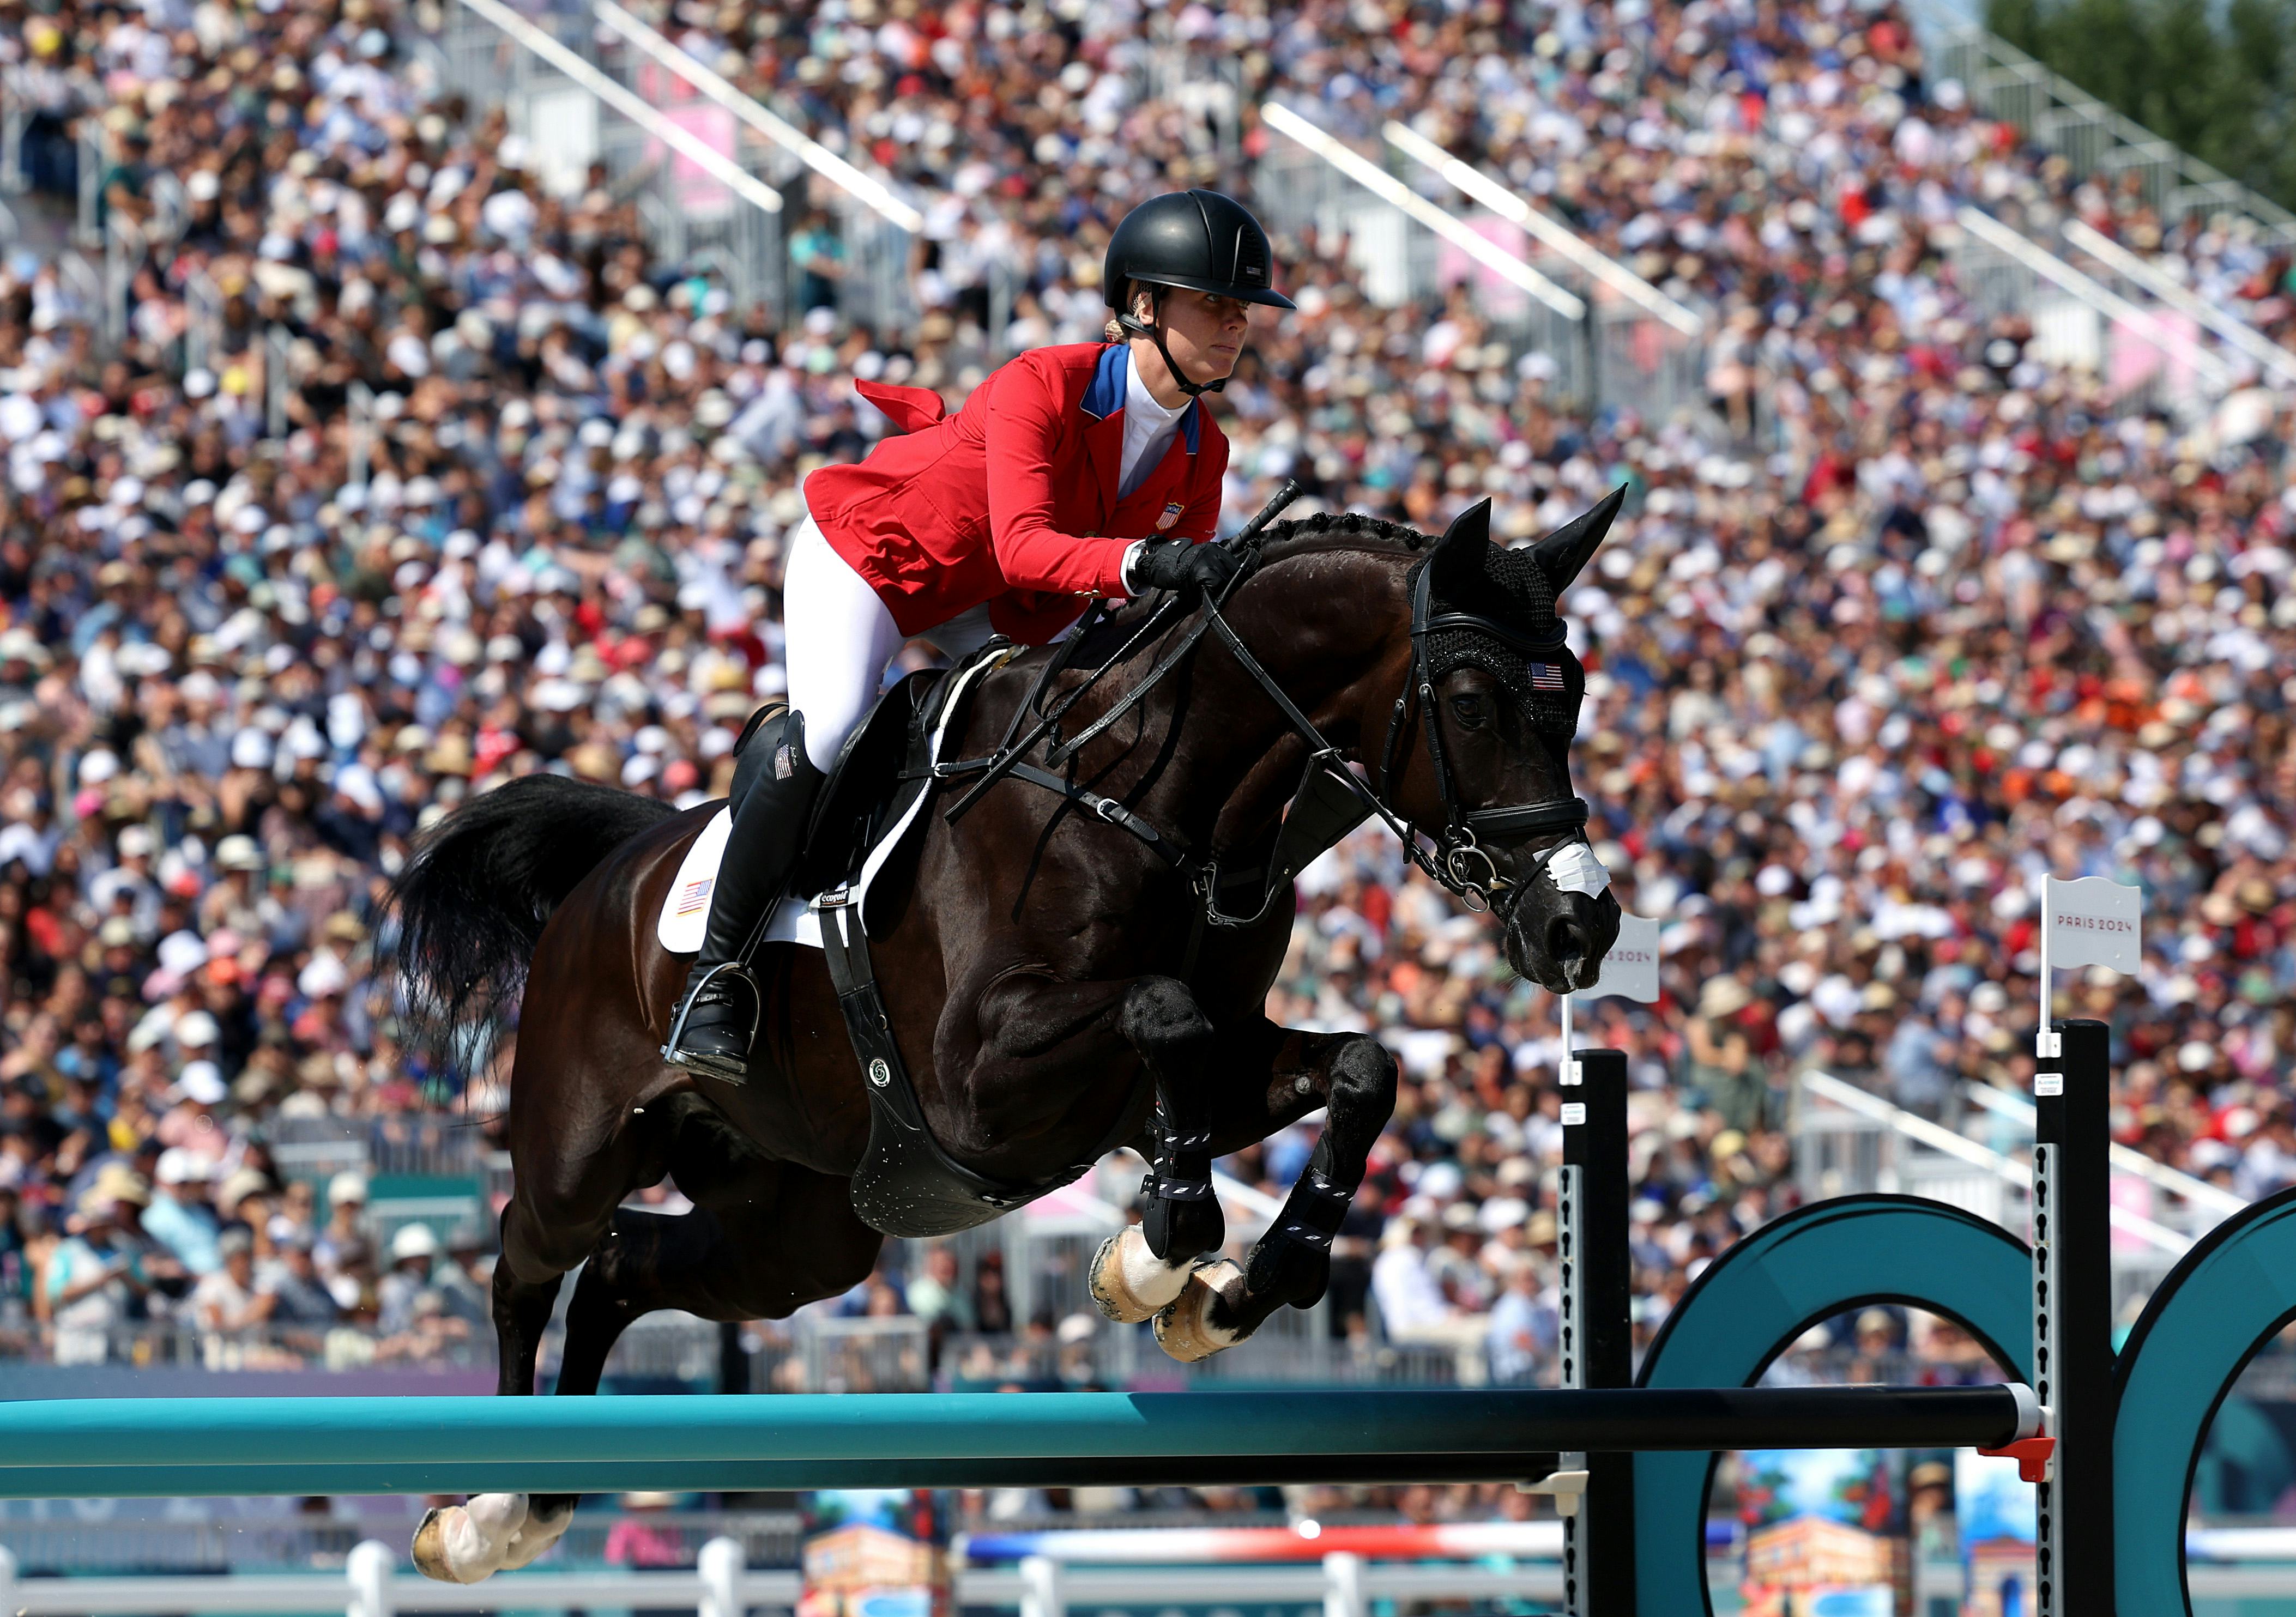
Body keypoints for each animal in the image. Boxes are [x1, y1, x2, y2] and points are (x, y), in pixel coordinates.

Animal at [388, 495, 1623, 1581]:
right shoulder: (976, 1081)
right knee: (526, 1261)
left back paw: (547, 1491)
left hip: (796, 1233)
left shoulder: (1218, 1061)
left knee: (621, 1270)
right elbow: (1161, 1010)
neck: (1159, 794)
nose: (1580, 923)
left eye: (1570, 699)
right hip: (582, 1147)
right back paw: (483, 1512)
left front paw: (1234, 1284)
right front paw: (1163, 1242)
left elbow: (1359, 1066)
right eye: (1472, 702)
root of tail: (614, 869)